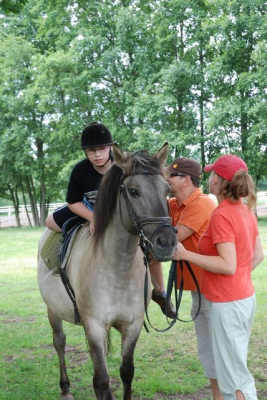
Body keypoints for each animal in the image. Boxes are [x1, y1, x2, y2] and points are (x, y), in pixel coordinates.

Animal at [36, 142, 178, 398]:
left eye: (167, 189)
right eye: (133, 191)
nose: (167, 242)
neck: (117, 271)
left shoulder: (131, 326)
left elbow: (126, 372)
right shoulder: (94, 325)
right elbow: (101, 380)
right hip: (53, 309)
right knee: (59, 341)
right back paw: (65, 388)